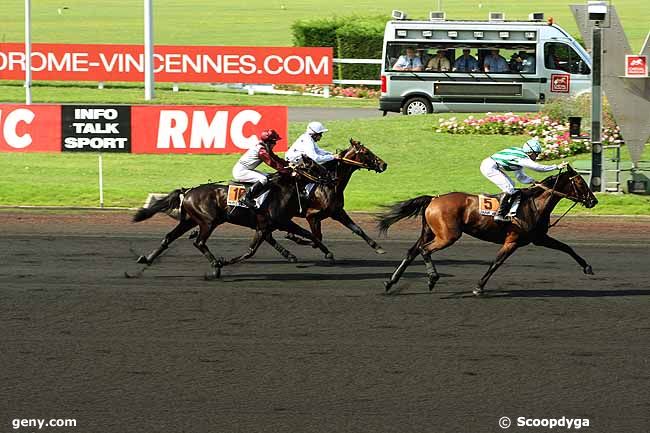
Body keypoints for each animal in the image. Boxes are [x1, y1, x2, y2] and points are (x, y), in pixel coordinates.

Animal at [132, 156, 334, 276]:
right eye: (313, 166)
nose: (330, 176)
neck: (281, 190)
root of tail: (188, 191)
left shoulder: (265, 226)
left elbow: (256, 248)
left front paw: (297, 253)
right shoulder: (280, 222)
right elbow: (308, 234)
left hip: (189, 221)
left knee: (169, 237)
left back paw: (147, 258)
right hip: (208, 221)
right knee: (199, 242)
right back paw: (216, 265)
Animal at [378, 164, 596, 296]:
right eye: (580, 182)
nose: (593, 201)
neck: (534, 204)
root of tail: (433, 199)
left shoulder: (539, 238)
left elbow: (567, 247)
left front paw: (587, 267)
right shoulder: (513, 241)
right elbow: (496, 263)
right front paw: (478, 287)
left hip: (430, 231)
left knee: (412, 251)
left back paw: (390, 282)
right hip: (448, 235)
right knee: (424, 250)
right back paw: (432, 278)